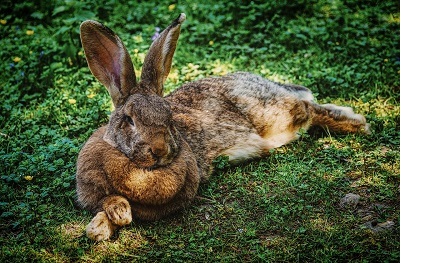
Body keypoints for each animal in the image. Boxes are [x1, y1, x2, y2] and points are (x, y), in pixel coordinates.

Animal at [75, 13, 368, 241]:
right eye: (129, 120)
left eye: (169, 117)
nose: (159, 150)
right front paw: (102, 224)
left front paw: (107, 222)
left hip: (274, 115)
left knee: (308, 109)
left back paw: (356, 123)